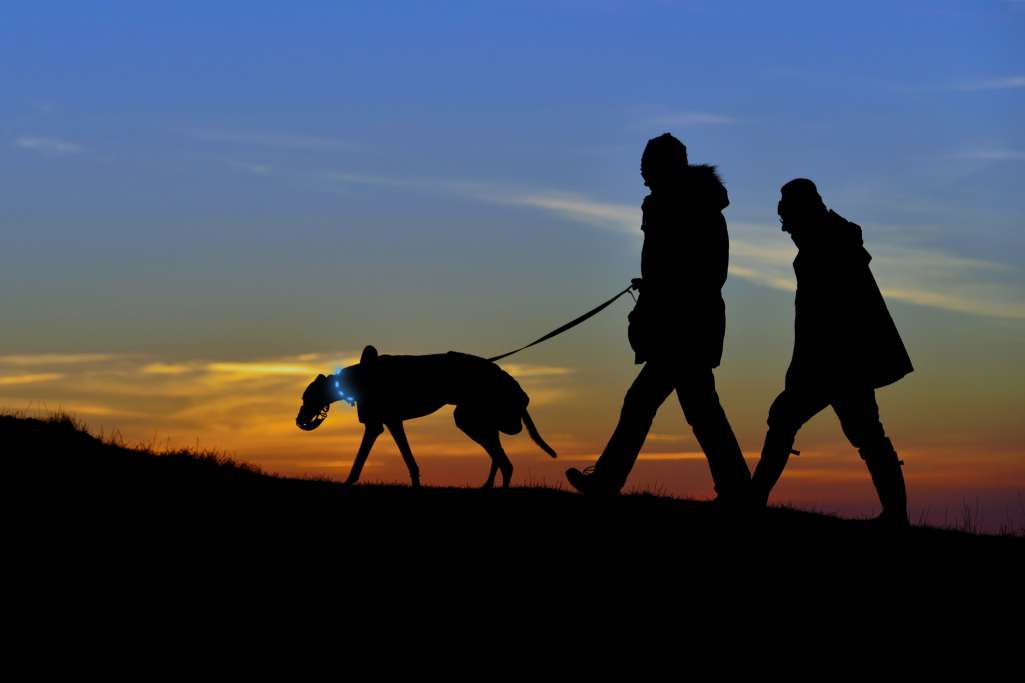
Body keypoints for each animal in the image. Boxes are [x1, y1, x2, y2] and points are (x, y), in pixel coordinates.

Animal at [293, 346, 557, 484]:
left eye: (306, 398)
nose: (298, 421)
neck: (360, 377)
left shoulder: (379, 424)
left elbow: (361, 461)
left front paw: (348, 482)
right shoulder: (390, 422)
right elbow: (409, 460)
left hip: (473, 419)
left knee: (505, 462)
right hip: (477, 419)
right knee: (500, 458)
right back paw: (486, 488)